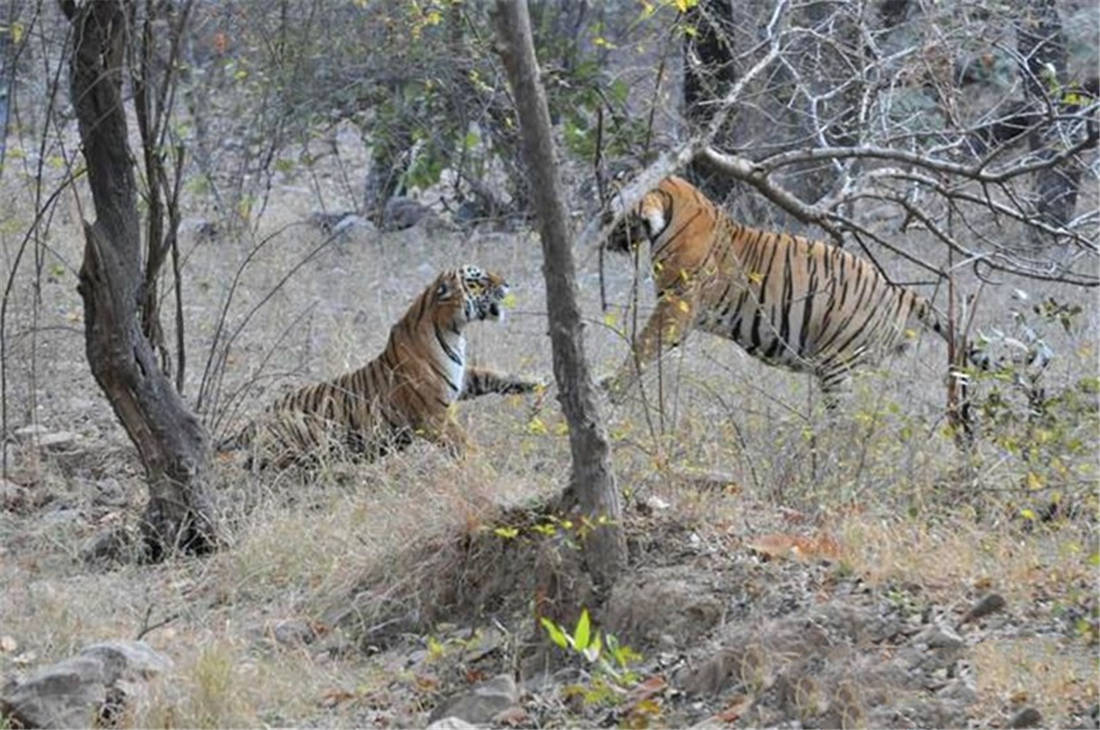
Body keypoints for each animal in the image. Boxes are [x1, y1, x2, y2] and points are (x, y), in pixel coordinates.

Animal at [216, 267, 543, 468]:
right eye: (479, 280)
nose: (507, 284)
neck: (453, 329)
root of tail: (250, 425)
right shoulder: (434, 416)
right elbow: (464, 442)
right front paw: (482, 466)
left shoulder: (462, 380)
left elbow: (492, 375)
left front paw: (533, 381)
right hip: (305, 436)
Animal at [607, 174, 950, 406]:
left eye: (612, 213)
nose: (606, 239)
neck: (671, 207)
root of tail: (898, 292)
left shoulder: (676, 305)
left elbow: (643, 345)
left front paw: (613, 389)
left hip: (837, 365)